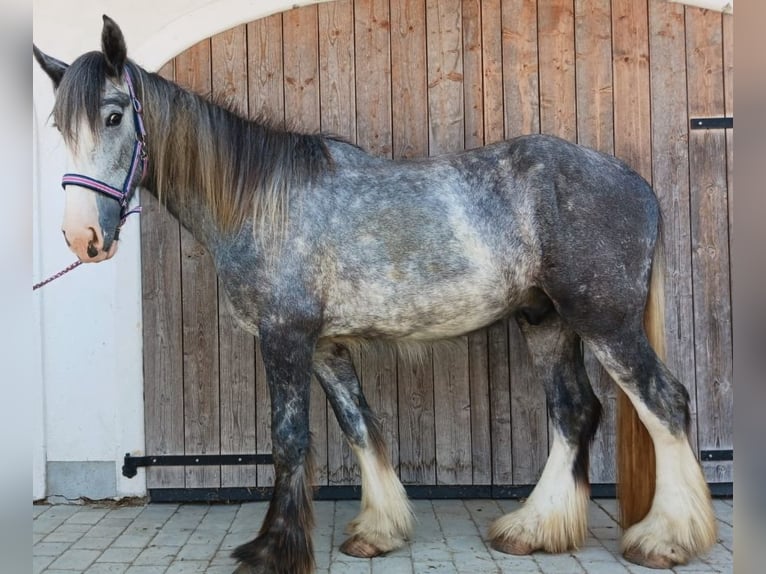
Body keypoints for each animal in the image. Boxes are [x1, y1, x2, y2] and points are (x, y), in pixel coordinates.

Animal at [34, 15, 716, 574]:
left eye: (114, 116)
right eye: (59, 127)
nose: (82, 238)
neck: (262, 201)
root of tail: (634, 182)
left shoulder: (285, 339)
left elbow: (289, 439)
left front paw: (274, 551)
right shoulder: (326, 346)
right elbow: (360, 425)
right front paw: (378, 531)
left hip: (605, 322)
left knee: (666, 404)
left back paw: (666, 539)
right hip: (546, 321)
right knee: (574, 413)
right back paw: (533, 529)